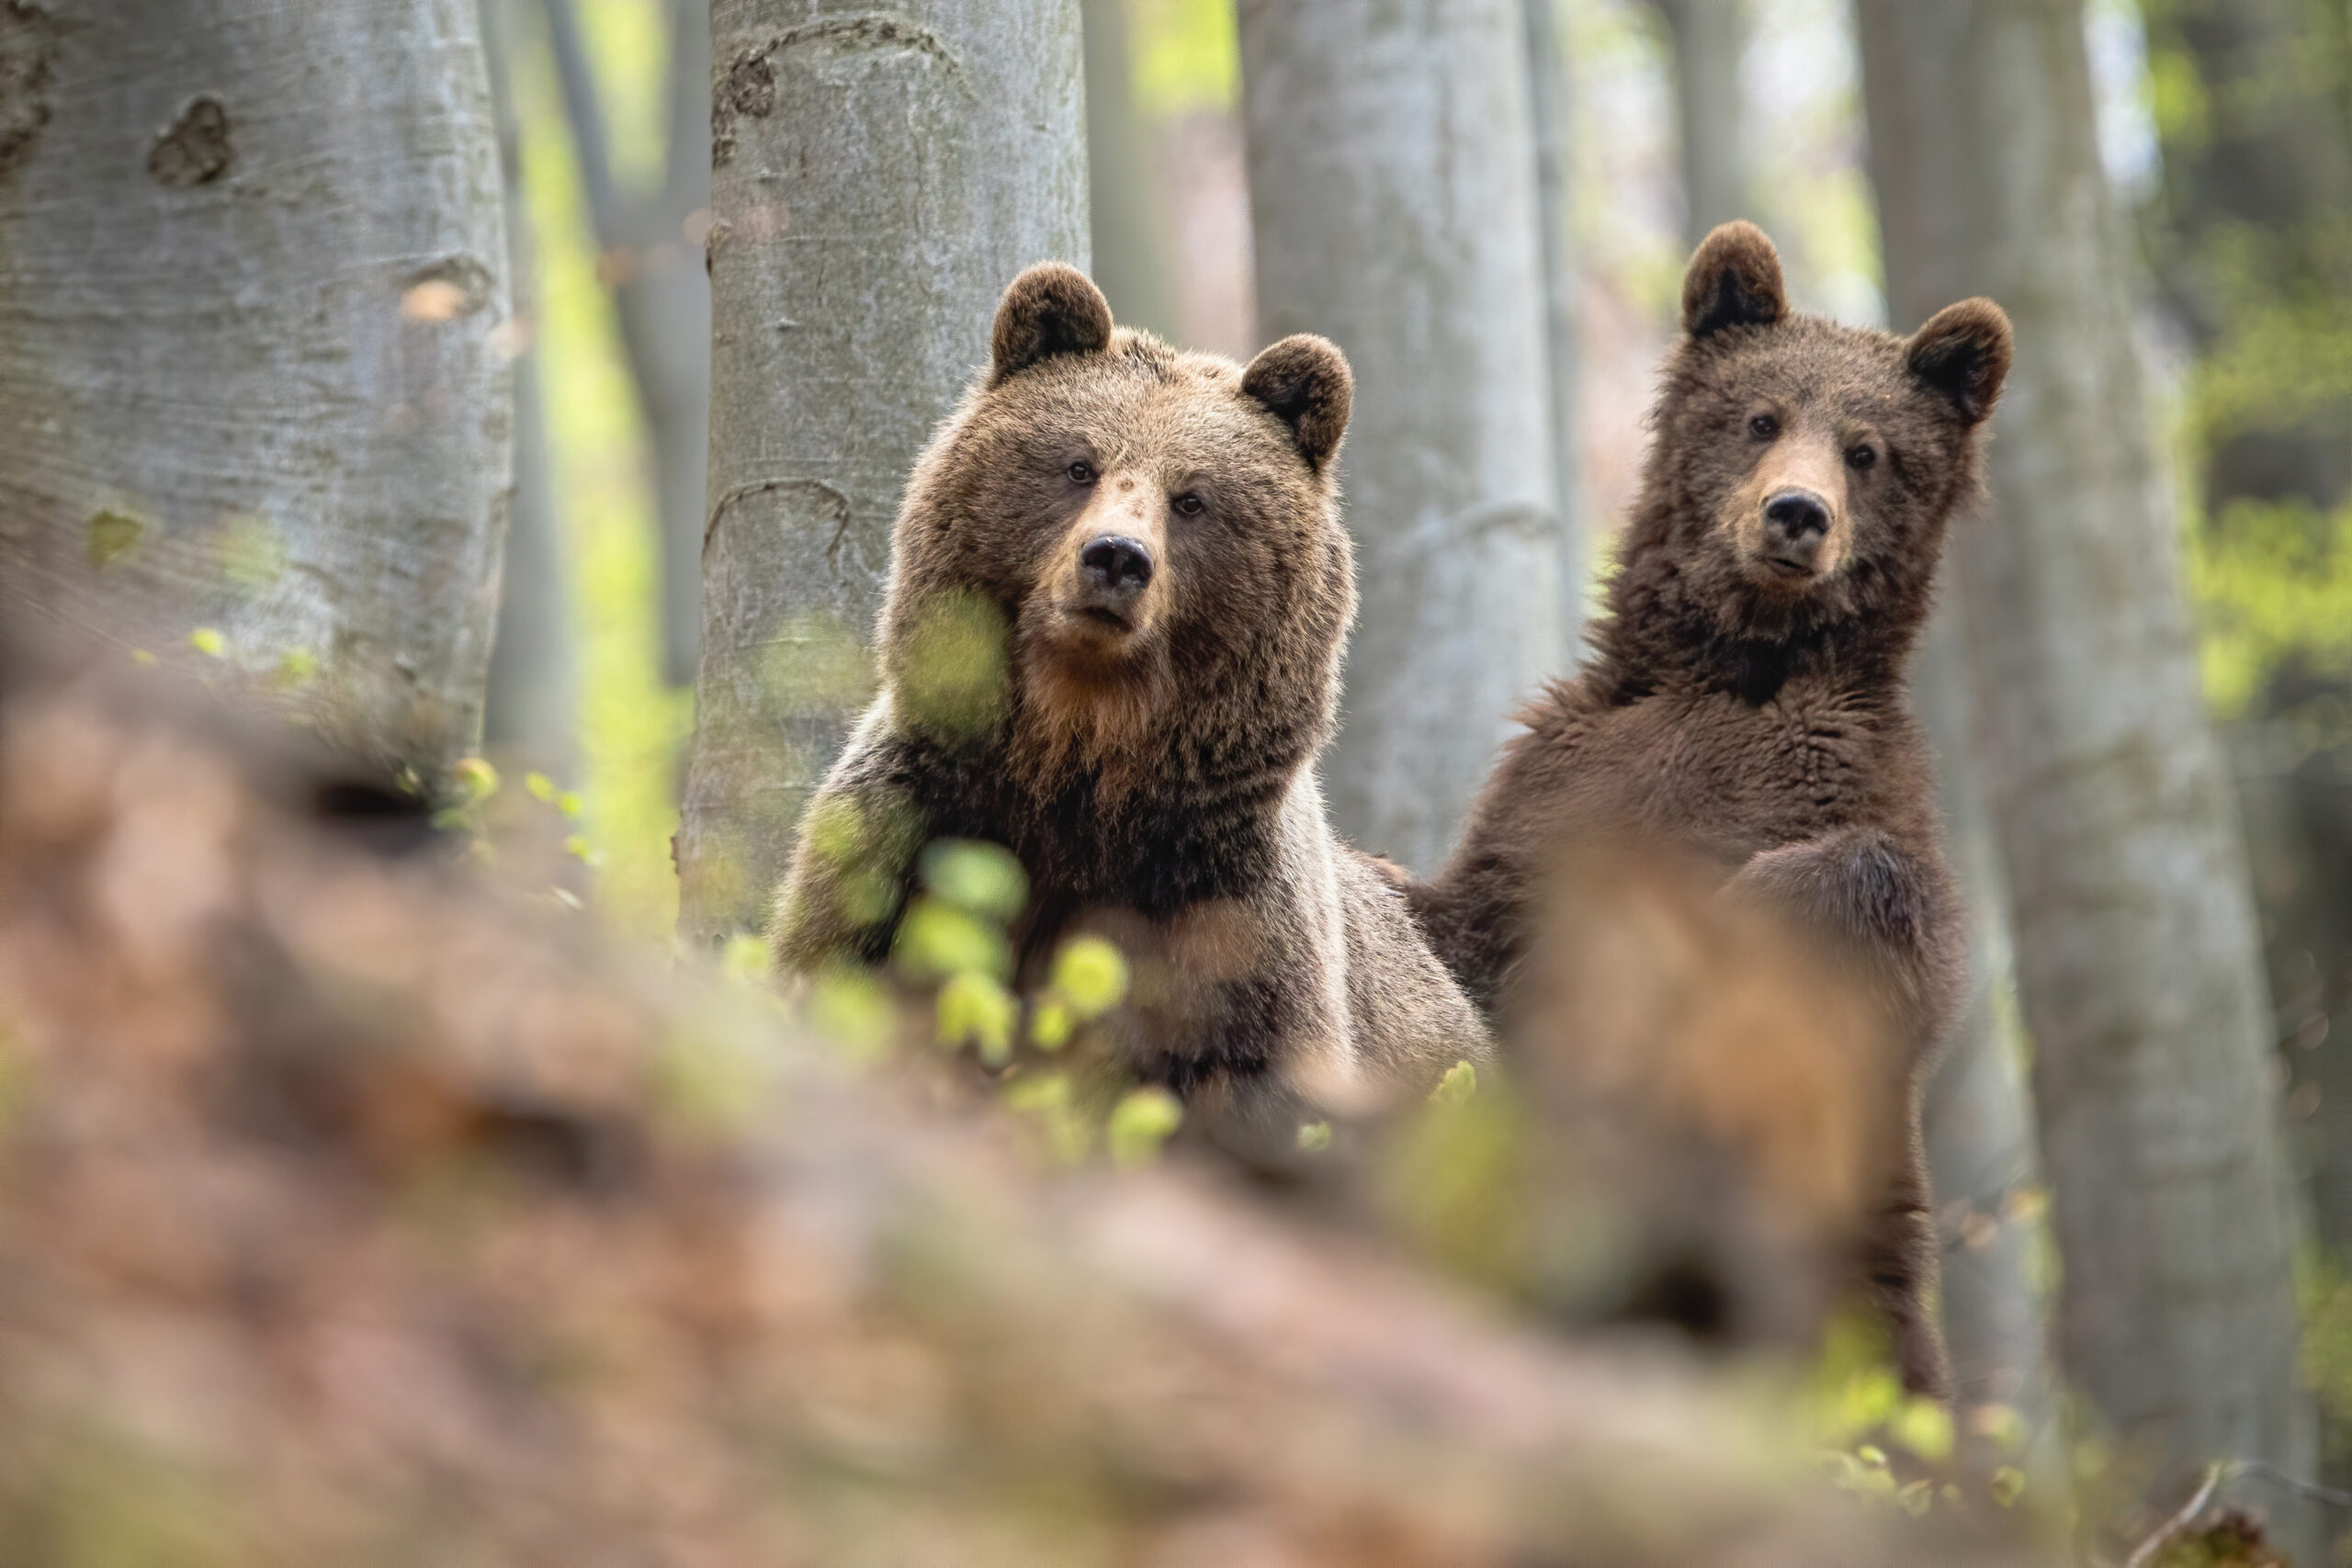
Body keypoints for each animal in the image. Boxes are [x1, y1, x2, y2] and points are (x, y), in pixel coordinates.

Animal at [771, 263, 1486, 1146]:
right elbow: (844, 969)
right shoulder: (911, 838)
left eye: (1193, 497)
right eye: (1079, 463)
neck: (1079, 763)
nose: (1115, 557)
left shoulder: (1225, 917)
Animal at [1401, 220, 2013, 1401]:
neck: (1737, 667)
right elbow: (1467, 920)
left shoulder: (1845, 788)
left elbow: (1872, 912)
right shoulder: (1560, 792)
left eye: (1867, 449)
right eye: (1761, 416)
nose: (1795, 514)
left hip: (1860, 1294)